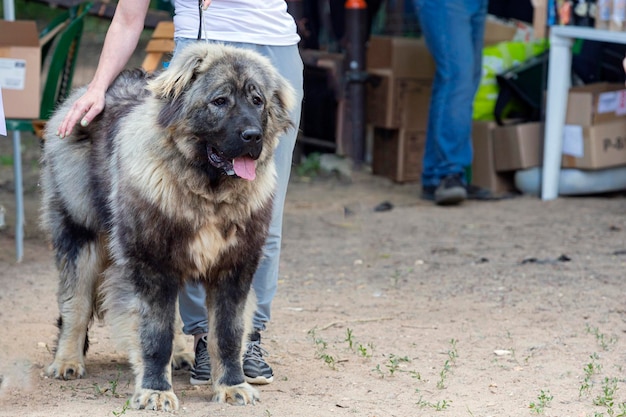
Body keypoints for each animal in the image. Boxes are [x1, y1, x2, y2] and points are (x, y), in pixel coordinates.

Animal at [40, 43, 296, 410]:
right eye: (220, 101)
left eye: (257, 100)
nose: (253, 136)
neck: (207, 192)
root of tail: (84, 94)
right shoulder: (151, 266)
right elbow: (154, 335)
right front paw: (155, 391)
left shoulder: (233, 269)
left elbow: (227, 334)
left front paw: (232, 385)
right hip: (81, 235)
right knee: (75, 304)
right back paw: (67, 361)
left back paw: (179, 357)